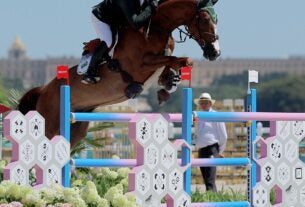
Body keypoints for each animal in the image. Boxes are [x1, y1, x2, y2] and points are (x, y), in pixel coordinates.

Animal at [17, 0, 220, 147]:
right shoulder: (139, 65)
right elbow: (178, 59)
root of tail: (43, 90)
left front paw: (168, 86)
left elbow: (177, 63)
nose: (215, 52)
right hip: (50, 125)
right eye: (205, 19)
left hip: (76, 127)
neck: (157, 27)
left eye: (216, 19)